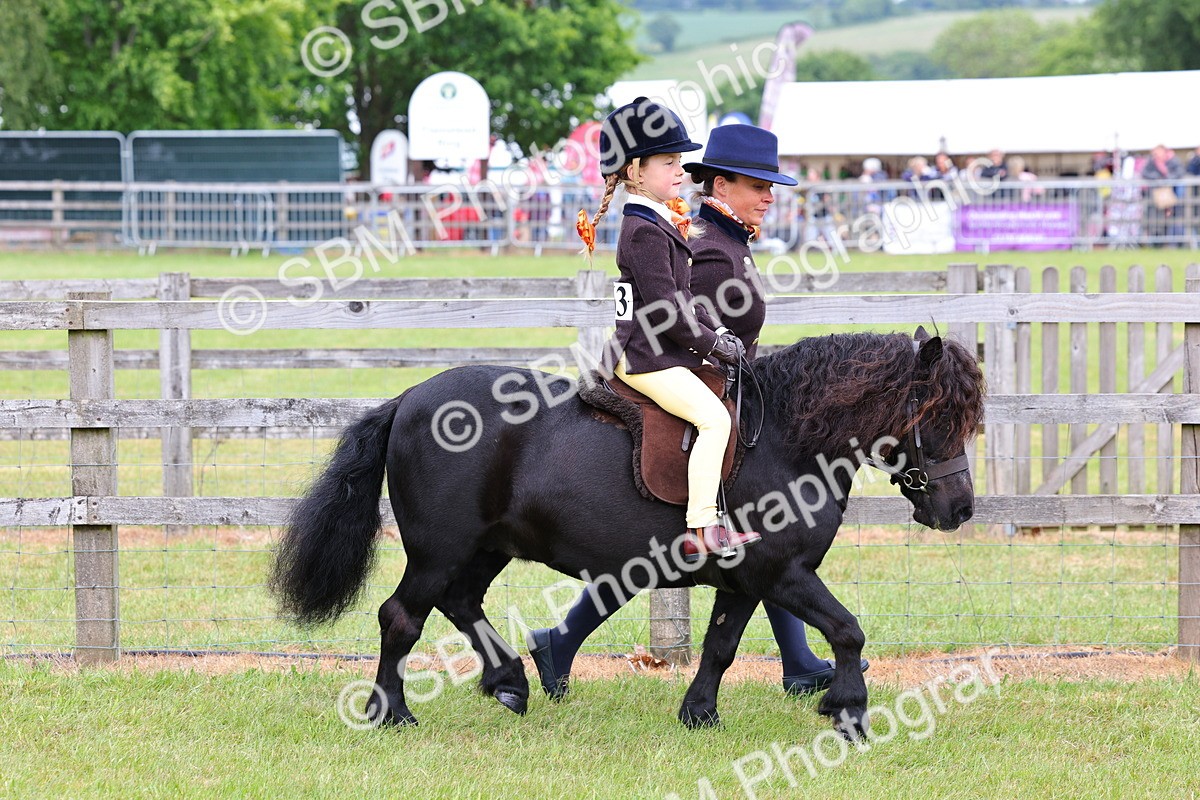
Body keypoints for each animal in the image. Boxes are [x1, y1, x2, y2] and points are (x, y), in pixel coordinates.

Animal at [271, 328, 985, 738]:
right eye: (938, 414)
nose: (959, 508)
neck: (787, 436)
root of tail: (409, 399)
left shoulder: (748, 578)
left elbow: (721, 645)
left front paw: (699, 714)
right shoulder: (782, 573)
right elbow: (847, 630)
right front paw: (850, 711)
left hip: (485, 548)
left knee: (460, 602)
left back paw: (511, 681)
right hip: (438, 550)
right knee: (401, 617)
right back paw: (392, 713)